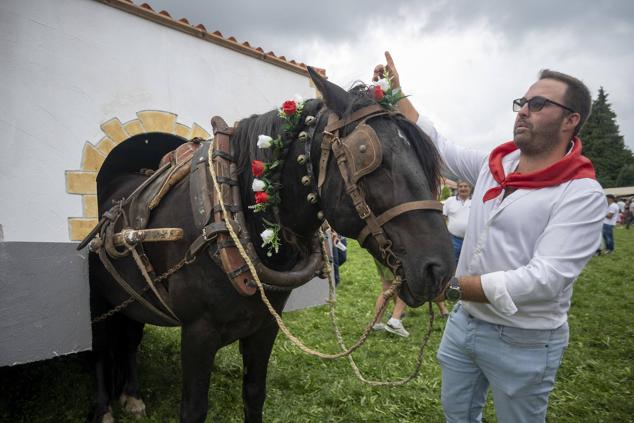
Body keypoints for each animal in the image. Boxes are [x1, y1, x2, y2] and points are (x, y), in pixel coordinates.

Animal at [89, 68, 454, 422]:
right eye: (366, 155)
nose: (439, 269)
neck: (233, 216)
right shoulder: (198, 332)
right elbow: (193, 409)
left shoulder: (265, 327)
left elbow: (254, 395)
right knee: (102, 351)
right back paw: (104, 408)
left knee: (130, 339)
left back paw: (132, 395)